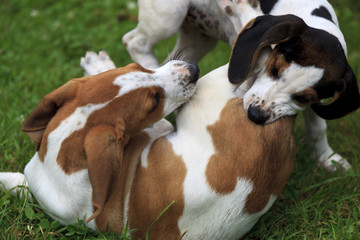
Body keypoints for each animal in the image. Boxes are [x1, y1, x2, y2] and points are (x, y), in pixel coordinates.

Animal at [123, 0, 360, 172]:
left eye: (303, 98)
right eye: (274, 69)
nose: (256, 115)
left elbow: (317, 126)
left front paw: (326, 157)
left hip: (199, 39)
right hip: (170, 14)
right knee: (134, 41)